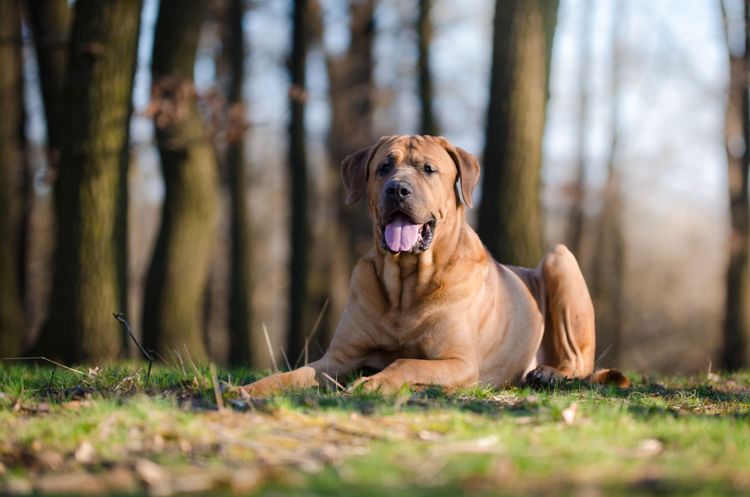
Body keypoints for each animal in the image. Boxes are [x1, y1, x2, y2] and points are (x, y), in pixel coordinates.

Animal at [242, 136, 628, 396]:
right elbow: (295, 374)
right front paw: (250, 388)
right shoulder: (338, 358)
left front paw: (374, 383)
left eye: (428, 169)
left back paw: (549, 373)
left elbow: (405, 362)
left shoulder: (458, 362)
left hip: (559, 258)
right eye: (383, 167)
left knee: (579, 363)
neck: (405, 285)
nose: (397, 190)